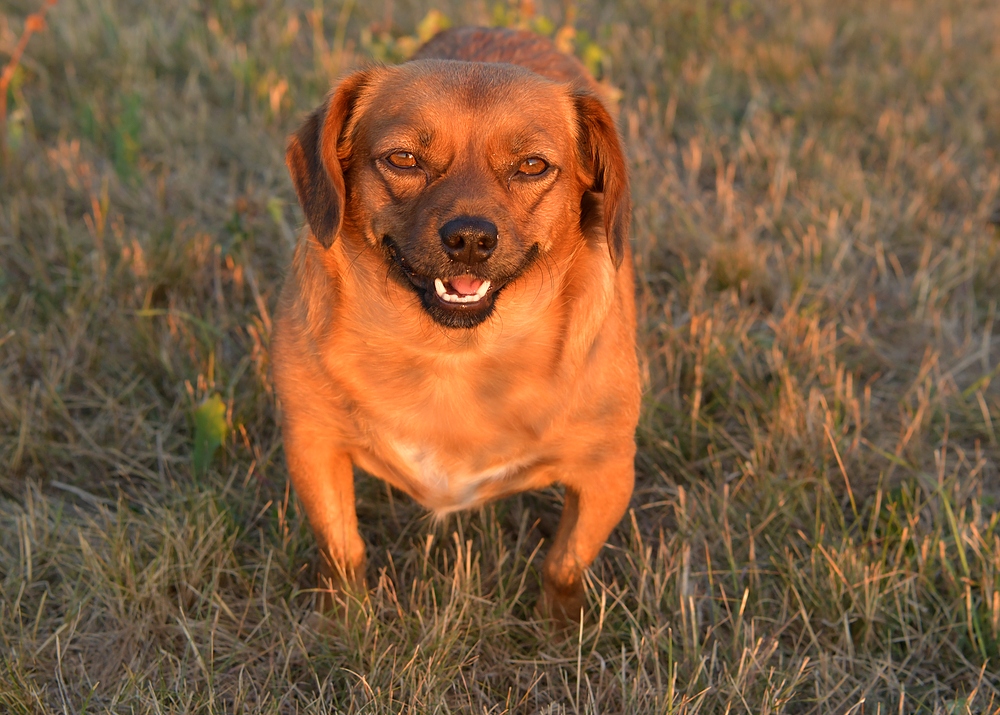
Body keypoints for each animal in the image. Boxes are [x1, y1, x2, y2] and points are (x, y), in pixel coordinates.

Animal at [270, 26, 636, 620]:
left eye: (532, 166)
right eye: (403, 159)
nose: (469, 238)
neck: (452, 355)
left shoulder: (606, 474)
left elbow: (563, 565)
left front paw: (561, 629)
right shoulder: (314, 445)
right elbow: (342, 549)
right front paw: (346, 619)